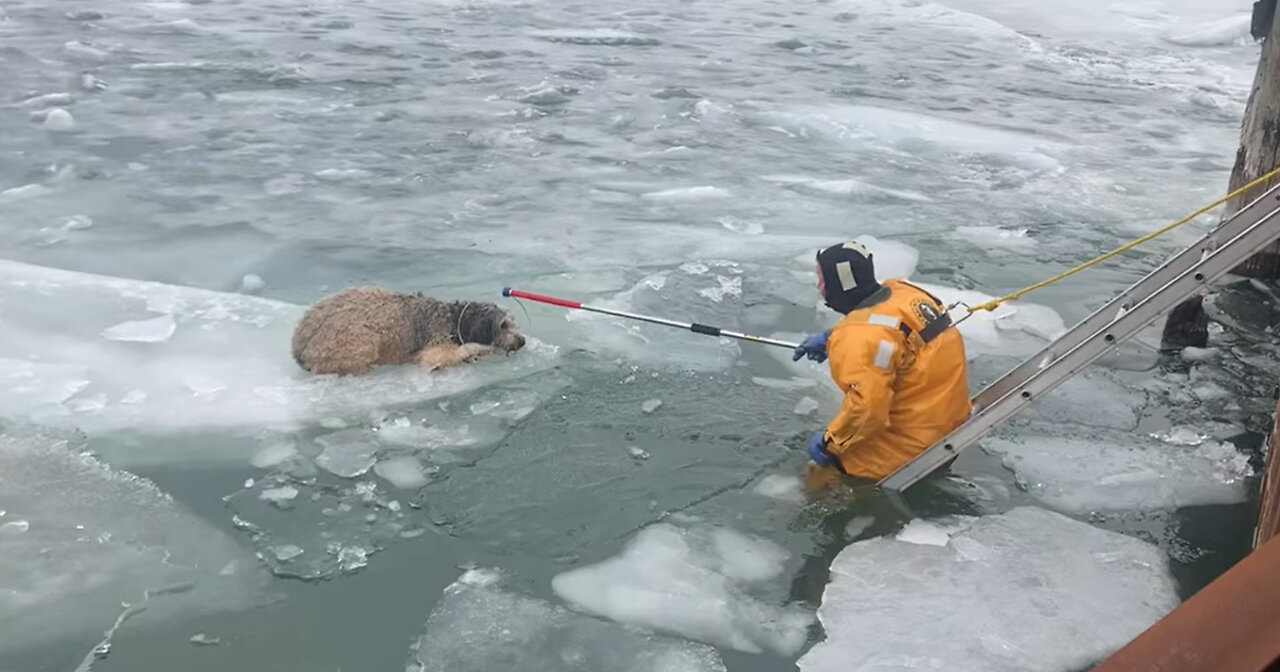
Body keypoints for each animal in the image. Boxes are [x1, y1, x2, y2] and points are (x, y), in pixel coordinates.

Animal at [290, 285, 524, 373]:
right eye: (503, 325)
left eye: (513, 321)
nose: (521, 340)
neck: (456, 318)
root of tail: (298, 349)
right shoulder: (435, 347)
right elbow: (443, 356)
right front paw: (478, 351)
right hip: (357, 342)